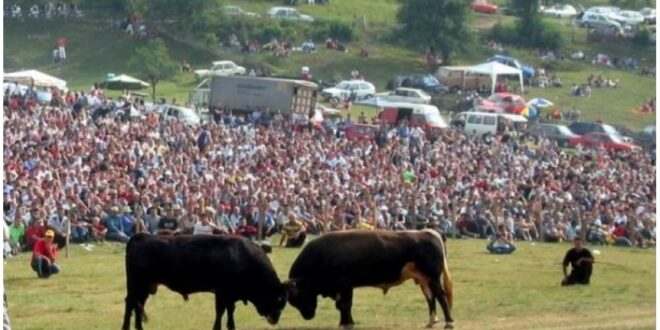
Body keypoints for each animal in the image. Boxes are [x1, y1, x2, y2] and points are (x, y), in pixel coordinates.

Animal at [122, 233, 288, 330]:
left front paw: (230, 326)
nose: (275, 318)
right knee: (131, 303)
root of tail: (141, 236)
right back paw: (126, 327)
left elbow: (229, 311)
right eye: (278, 299)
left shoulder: (229, 295)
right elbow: (221, 311)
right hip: (137, 285)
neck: (242, 257)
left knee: (138, 304)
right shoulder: (222, 292)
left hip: (145, 287)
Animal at [288, 231, 454, 328]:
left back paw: (449, 322)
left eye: (298, 295)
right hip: (424, 280)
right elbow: (343, 306)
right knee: (430, 298)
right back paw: (431, 322)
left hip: (433, 278)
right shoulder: (345, 288)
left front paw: (346, 323)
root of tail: (428, 232)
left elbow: (344, 305)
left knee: (441, 296)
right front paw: (346, 322)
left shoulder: (345, 286)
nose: (308, 315)